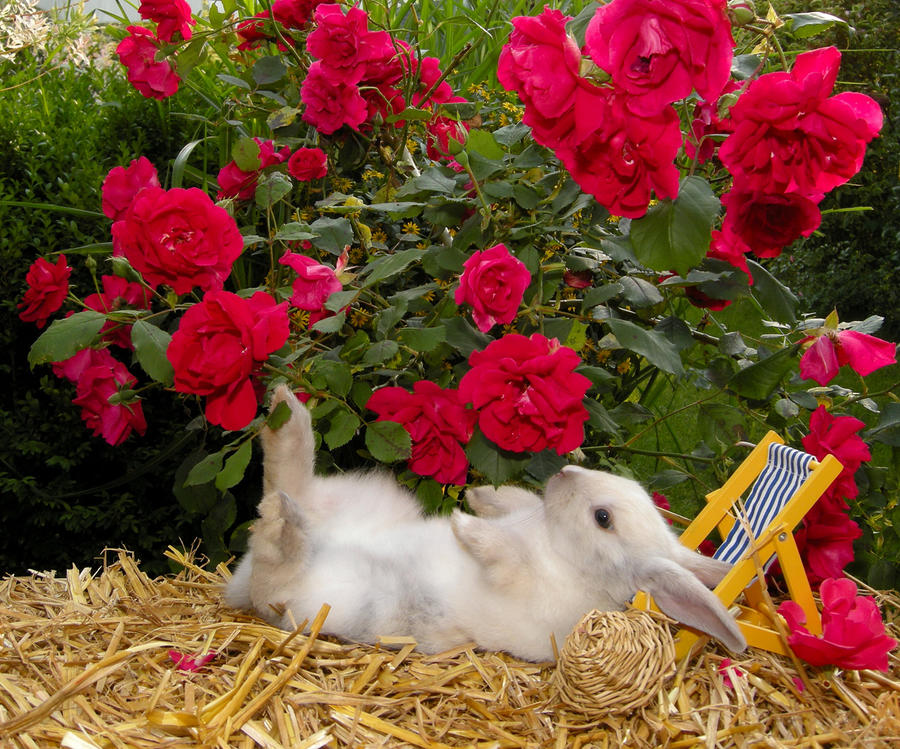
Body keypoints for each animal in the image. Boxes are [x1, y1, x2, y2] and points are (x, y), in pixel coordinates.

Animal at [224, 385, 747, 661]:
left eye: (603, 519)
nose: (563, 473)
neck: (554, 545)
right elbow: (512, 503)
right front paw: (479, 497)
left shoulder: (526, 591)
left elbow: (503, 556)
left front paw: (464, 526)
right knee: (285, 482)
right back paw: (287, 416)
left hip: (323, 596)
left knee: (275, 566)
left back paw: (285, 517)